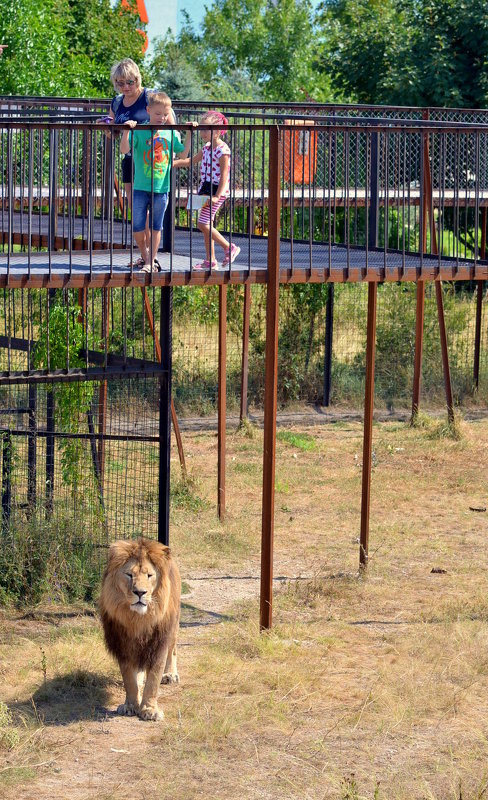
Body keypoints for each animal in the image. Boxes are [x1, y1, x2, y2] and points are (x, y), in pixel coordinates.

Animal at [99, 536, 181, 720]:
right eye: (129, 575)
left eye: (149, 575)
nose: (140, 592)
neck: (138, 619)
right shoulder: (123, 645)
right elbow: (129, 680)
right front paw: (130, 706)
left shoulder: (158, 644)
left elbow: (154, 680)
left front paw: (149, 710)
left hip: (174, 626)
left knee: (172, 650)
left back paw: (170, 674)